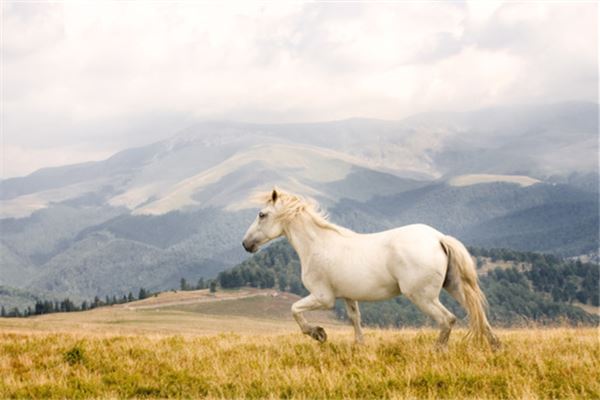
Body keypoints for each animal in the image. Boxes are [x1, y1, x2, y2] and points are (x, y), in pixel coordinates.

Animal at [241, 189, 500, 348]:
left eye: (262, 214)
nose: (246, 244)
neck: (317, 245)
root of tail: (438, 238)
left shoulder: (323, 297)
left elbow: (295, 309)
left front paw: (318, 334)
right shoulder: (348, 296)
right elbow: (355, 320)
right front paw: (359, 346)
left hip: (422, 296)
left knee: (448, 320)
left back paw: (436, 351)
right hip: (454, 287)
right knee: (478, 315)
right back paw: (495, 347)